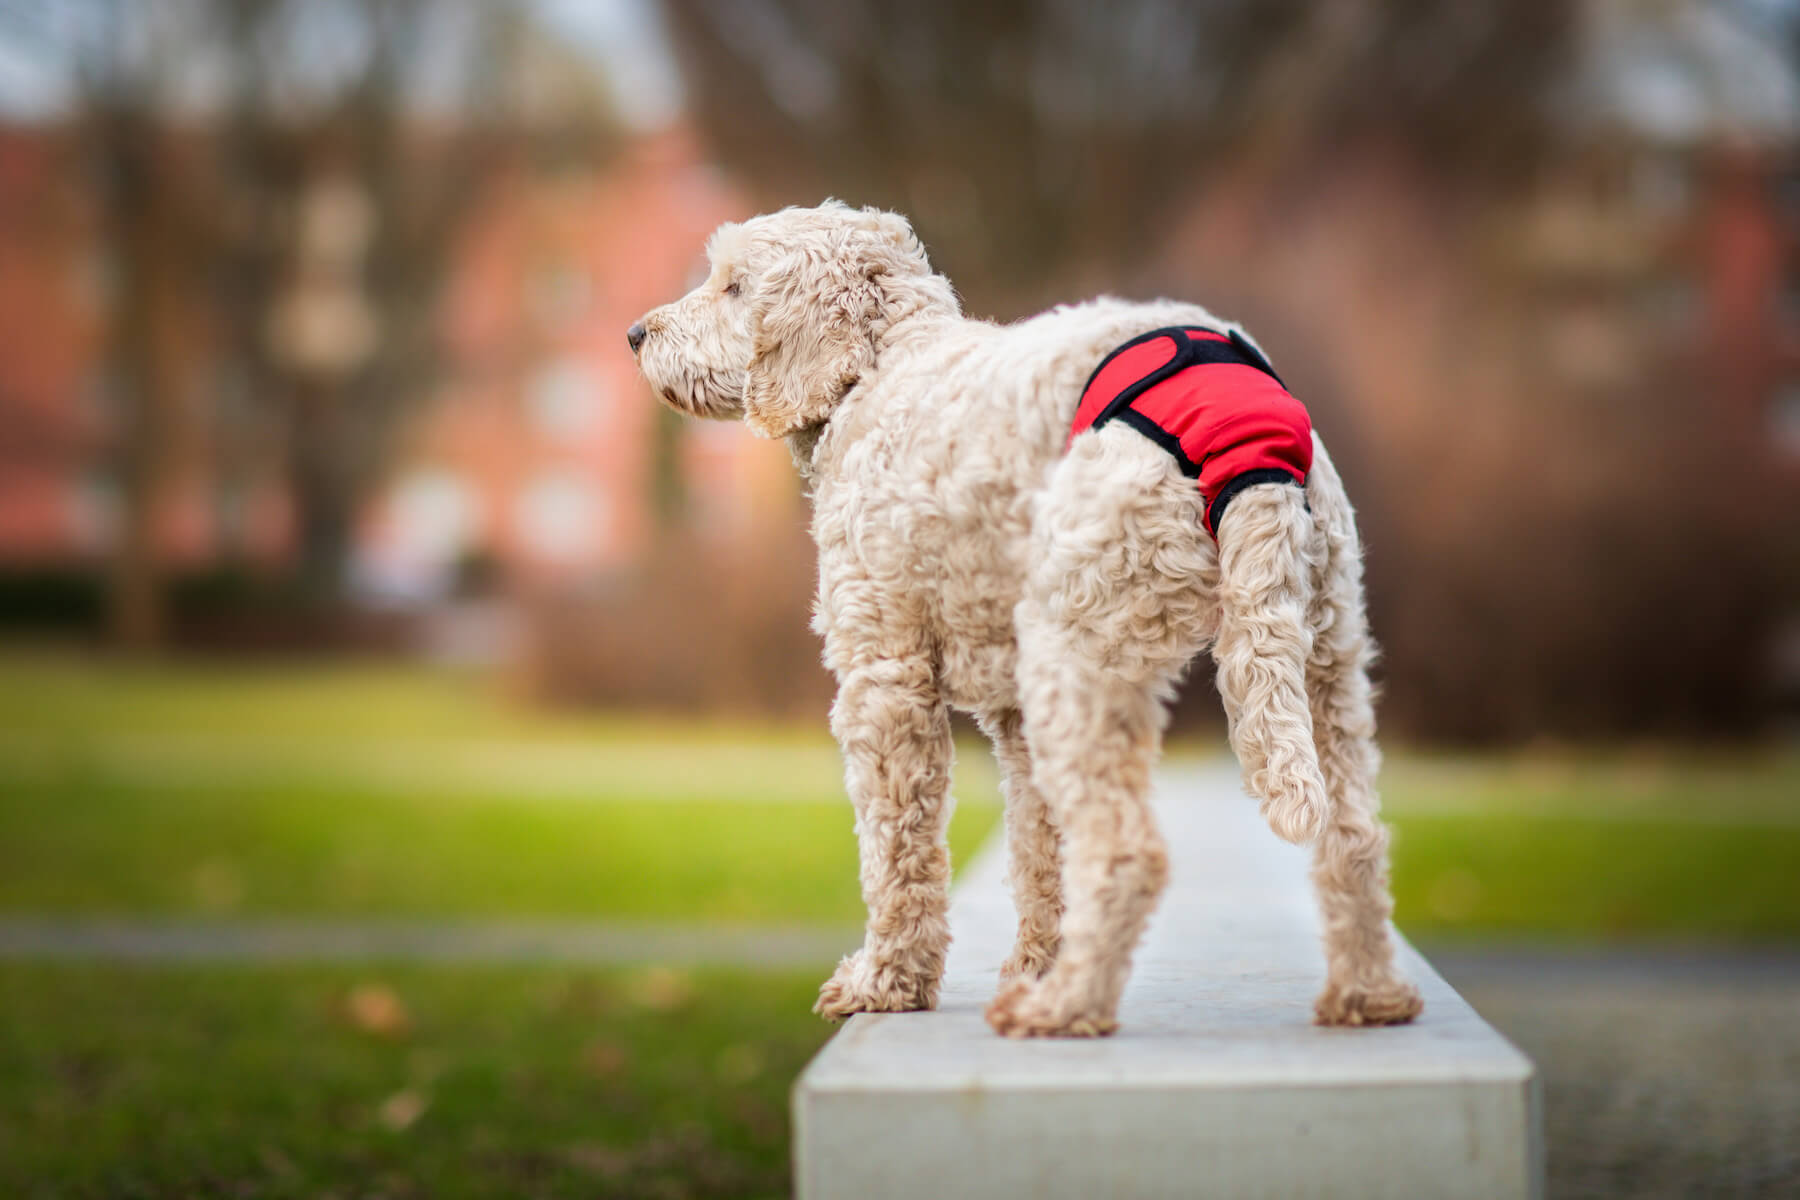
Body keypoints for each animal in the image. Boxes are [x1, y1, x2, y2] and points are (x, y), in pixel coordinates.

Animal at [633, 199, 1418, 1043]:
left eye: (734, 285)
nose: (636, 334)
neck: (880, 368)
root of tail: (1248, 428)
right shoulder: (1013, 710)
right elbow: (1039, 848)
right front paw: (1035, 959)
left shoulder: (885, 674)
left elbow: (896, 850)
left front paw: (885, 982)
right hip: (1327, 655)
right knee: (1355, 838)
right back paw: (1368, 998)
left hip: (1080, 654)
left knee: (1127, 852)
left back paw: (1064, 1008)